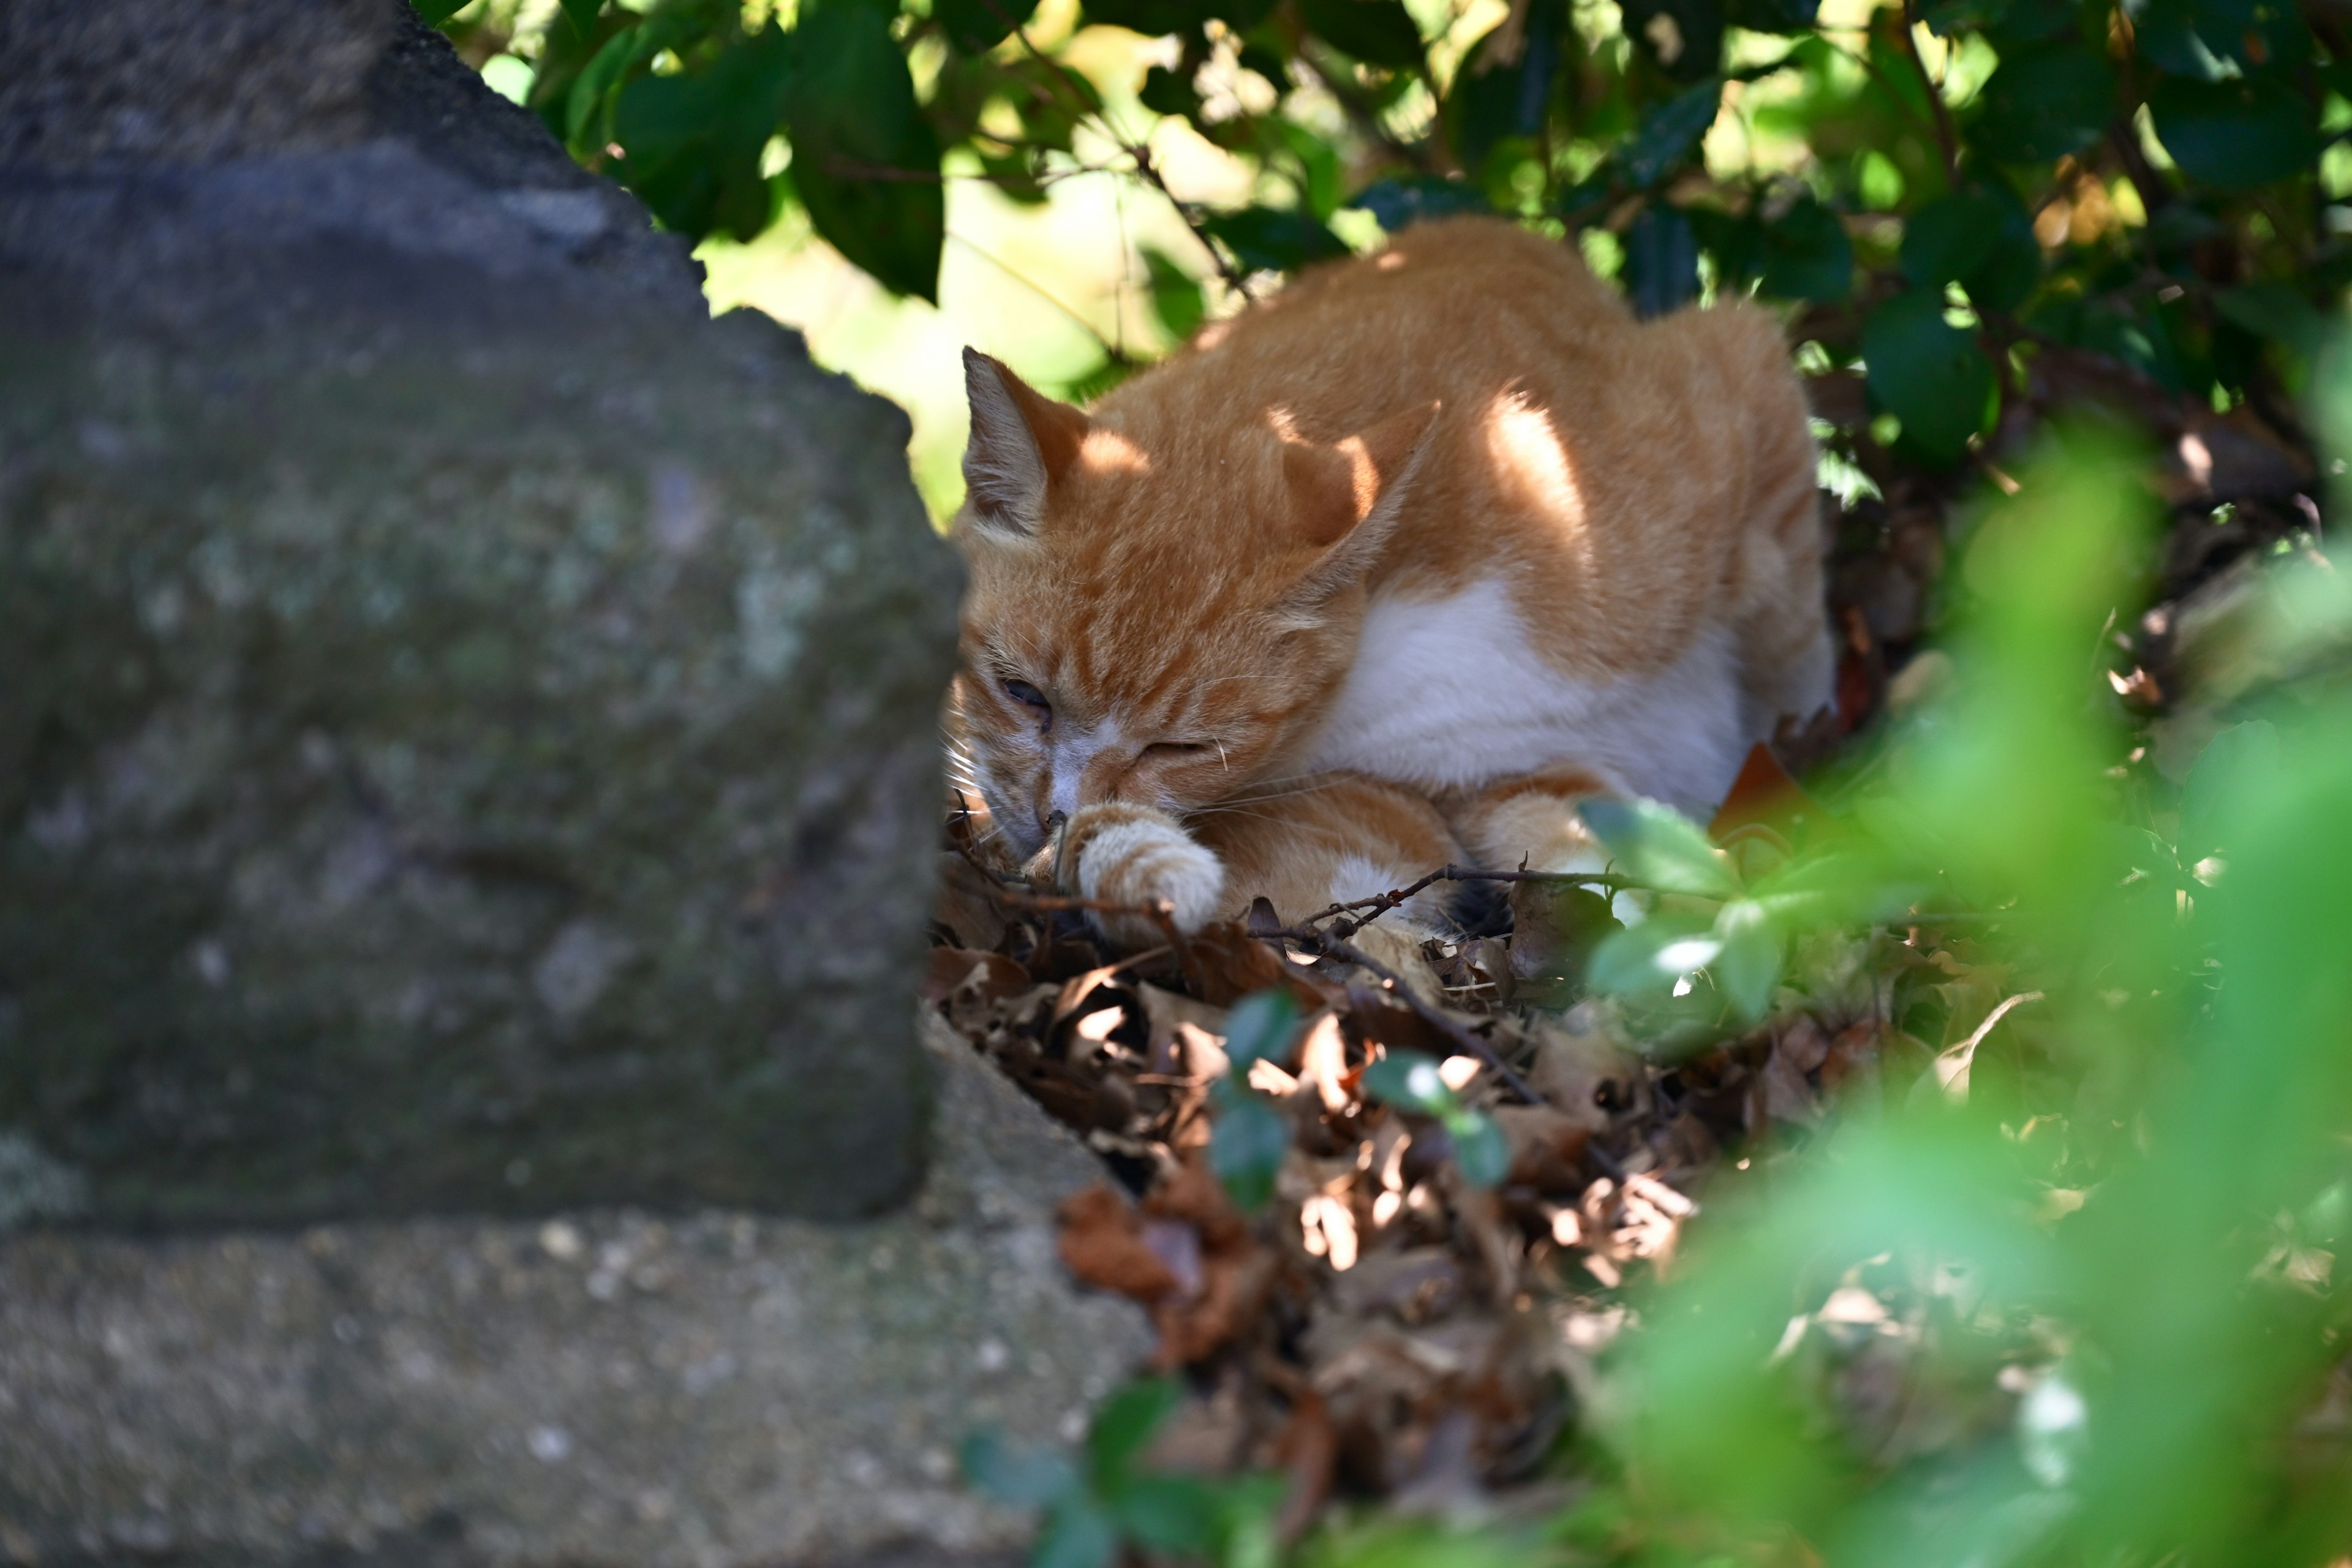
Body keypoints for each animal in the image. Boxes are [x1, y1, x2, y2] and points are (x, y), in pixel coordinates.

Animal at [945, 215, 1825, 949]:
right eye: (1021, 693)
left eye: (1180, 747)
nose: (1055, 817)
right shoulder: (1470, 786)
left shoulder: (1738, 377)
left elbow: (1790, 665)